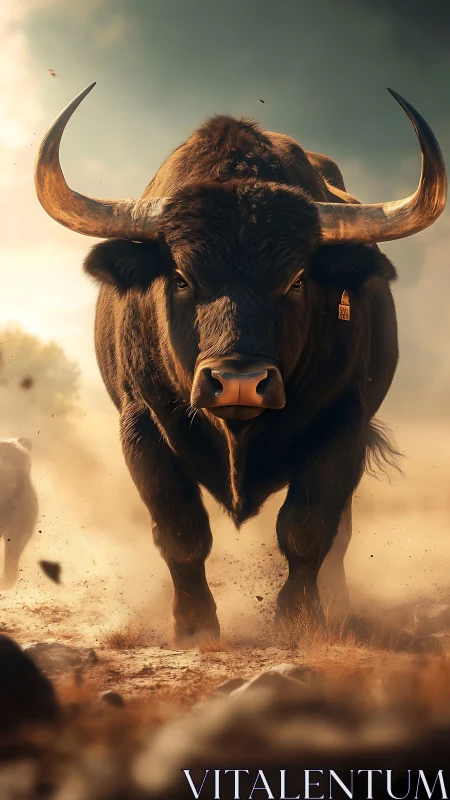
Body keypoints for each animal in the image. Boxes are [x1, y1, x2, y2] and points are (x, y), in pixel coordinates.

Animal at [34, 85, 446, 644]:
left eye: (297, 279)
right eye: (181, 277)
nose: (238, 382)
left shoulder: (344, 423)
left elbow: (307, 528)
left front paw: (300, 618)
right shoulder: (140, 426)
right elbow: (181, 531)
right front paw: (193, 624)